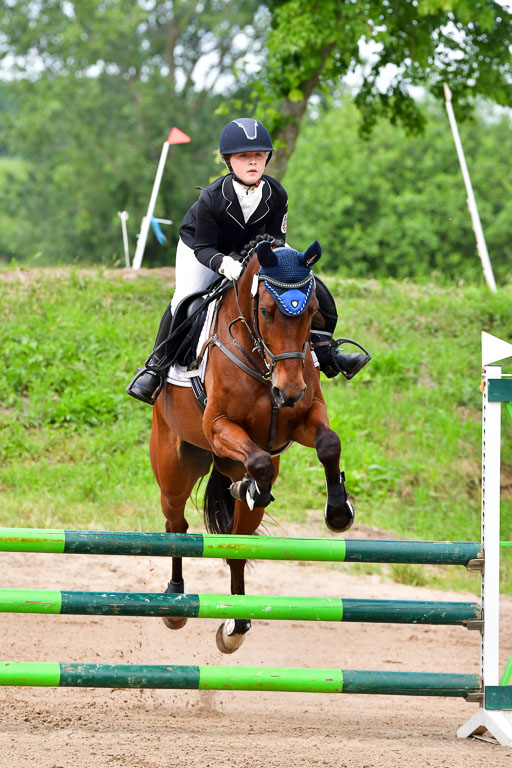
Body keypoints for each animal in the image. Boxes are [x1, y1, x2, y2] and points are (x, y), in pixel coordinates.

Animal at [149, 238, 354, 653]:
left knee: (238, 548)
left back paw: (236, 625)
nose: (288, 391)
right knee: (176, 524)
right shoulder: (218, 427)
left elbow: (328, 444)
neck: (262, 362)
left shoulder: (305, 416)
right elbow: (260, 463)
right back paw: (176, 600)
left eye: (313, 312)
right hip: (174, 470)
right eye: (266, 312)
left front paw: (339, 513)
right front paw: (255, 486)